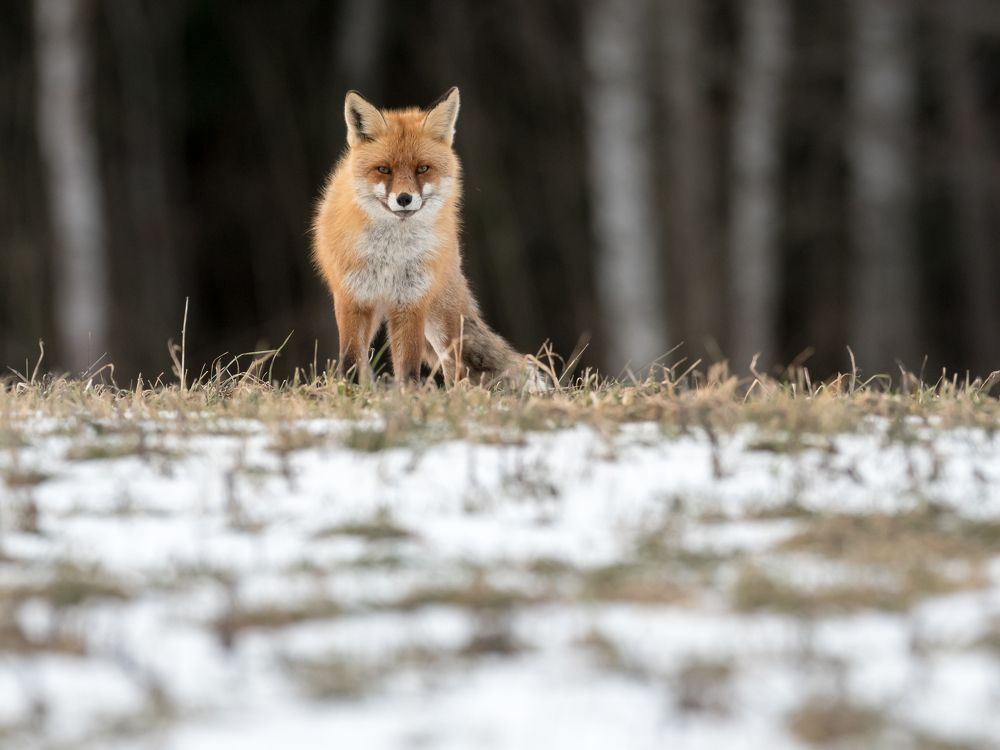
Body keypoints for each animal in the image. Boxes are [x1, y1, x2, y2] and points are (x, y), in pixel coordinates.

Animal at [312, 86, 543, 388]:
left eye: (422, 168)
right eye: (384, 169)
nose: (404, 198)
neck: (392, 253)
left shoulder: (411, 301)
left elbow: (409, 368)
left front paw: (410, 394)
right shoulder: (352, 298)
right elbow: (351, 361)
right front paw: (349, 391)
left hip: (440, 320)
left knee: (455, 367)